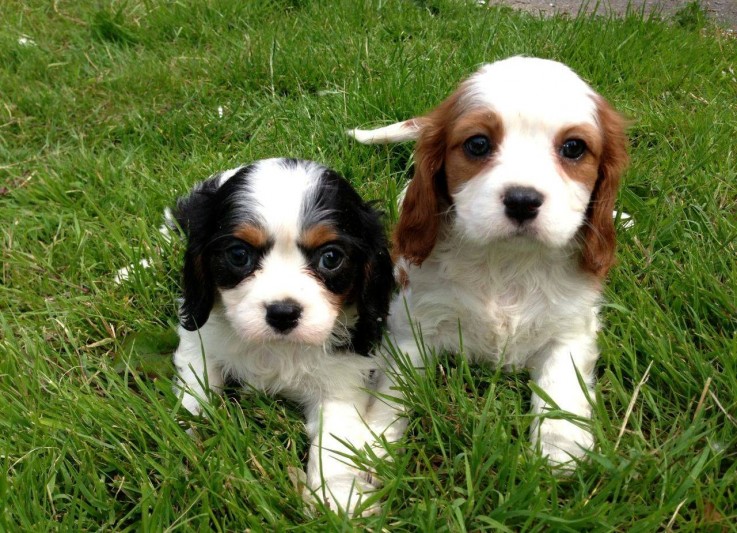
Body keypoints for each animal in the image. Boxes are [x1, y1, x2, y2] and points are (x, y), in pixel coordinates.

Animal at [172, 157, 394, 512]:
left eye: (331, 258)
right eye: (239, 255)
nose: (282, 312)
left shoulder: (343, 378)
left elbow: (335, 438)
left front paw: (339, 498)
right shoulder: (200, 336)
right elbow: (198, 386)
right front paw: (187, 435)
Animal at [350, 56, 628, 468]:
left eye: (574, 148)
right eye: (478, 144)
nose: (522, 200)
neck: (508, 261)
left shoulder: (571, 329)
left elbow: (560, 386)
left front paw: (559, 453)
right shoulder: (415, 324)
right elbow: (394, 389)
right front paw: (375, 447)